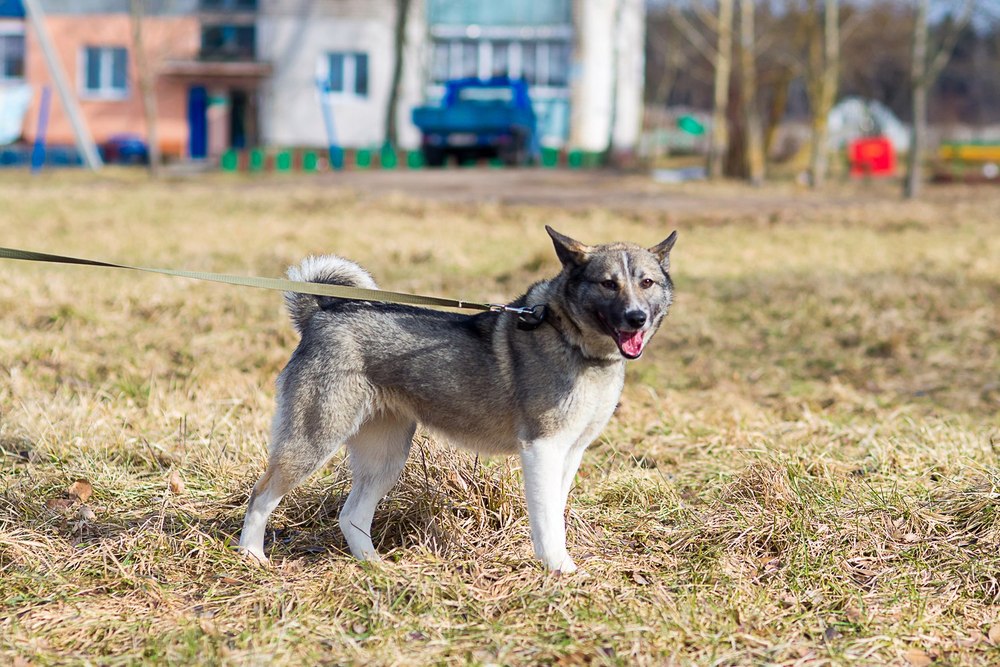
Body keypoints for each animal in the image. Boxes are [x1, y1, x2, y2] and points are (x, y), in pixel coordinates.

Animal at [240, 227, 680, 572]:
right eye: (608, 283)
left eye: (646, 283)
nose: (637, 317)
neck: (571, 338)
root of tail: (320, 314)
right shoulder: (541, 449)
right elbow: (545, 519)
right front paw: (559, 570)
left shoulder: (570, 453)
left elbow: (556, 510)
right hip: (314, 440)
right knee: (261, 496)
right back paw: (251, 557)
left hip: (386, 457)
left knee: (351, 516)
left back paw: (377, 568)